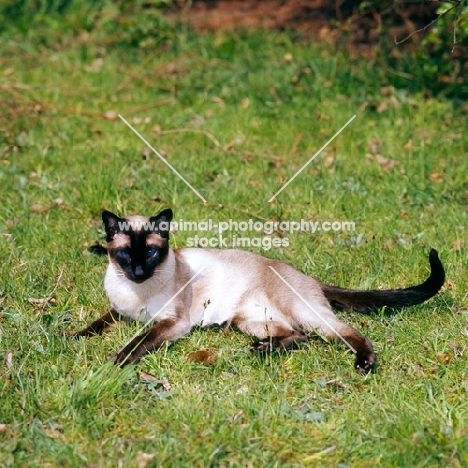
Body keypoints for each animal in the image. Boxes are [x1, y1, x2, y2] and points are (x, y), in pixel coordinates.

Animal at [75, 208, 444, 372]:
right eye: (126, 255)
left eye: (150, 253)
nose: (138, 272)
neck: (136, 292)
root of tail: (306, 275)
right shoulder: (119, 311)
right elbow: (96, 325)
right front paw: (75, 338)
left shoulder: (170, 323)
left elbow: (137, 342)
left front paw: (115, 363)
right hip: (248, 320)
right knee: (297, 337)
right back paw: (261, 350)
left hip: (303, 312)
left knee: (343, 333)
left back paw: (364, 363)